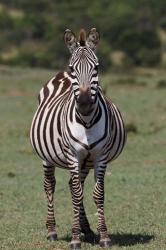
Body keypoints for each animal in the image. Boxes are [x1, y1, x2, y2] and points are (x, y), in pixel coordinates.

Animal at [29, 28, 126, 249]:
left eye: (96, 67)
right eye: (73, 68)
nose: (84, 103)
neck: (87, 121)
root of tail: (60, 75)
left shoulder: (100, 156)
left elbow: (96, 194)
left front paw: (103, 236)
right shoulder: (73, 155)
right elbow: (76, 194)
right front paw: (74, 238)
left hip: (85, 162)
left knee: (74, 186)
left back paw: (87, 230)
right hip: (47, 157)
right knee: (50, 186)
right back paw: (52, 231)